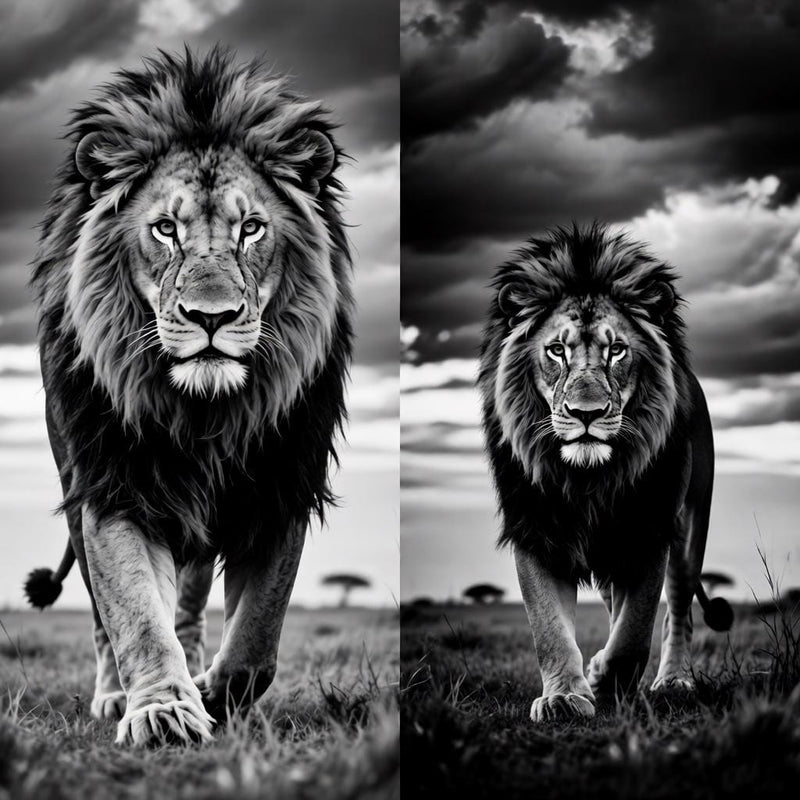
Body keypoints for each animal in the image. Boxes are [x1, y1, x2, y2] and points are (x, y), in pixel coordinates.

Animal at [23, 47, 353, 746]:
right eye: (165, 230)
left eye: (251, 229)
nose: (211, 317)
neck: (204, 415)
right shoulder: (114, 485)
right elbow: (134, 616)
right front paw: (162, 711)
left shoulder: (280, 486)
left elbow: (257, 639)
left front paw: (212, 695)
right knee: (105, 616)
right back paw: (114, 696)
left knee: (192, 603)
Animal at [478, 224, 732, 722]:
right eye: (557, 350)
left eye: (617, 350)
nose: (587, 413)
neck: (588, 480)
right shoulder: (536, 530)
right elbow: (549, 628)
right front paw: (564, 696)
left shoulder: (650, 531)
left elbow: (634, 632)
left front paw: (610, 683)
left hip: (691, 524)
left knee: (678, 610)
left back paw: (672, 682)